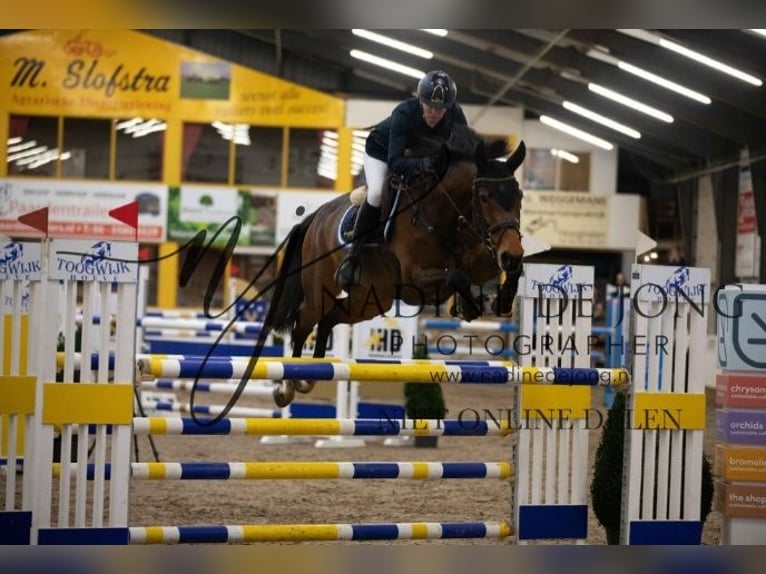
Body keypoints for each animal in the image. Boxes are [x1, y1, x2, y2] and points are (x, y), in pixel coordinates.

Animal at [268, 126, 524, 408]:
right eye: (485, 198)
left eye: (519, 196)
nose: (512, 254)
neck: (442, 214)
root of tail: (316, 217)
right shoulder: (416, 280)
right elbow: (457, 276)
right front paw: (469, 306)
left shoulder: (482, 261)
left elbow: (500, 273)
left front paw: (498, 301)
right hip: (321, 291)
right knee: (304, 321)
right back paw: (287, 386)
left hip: (371, 300)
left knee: (328, 319)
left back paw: (310, 377)